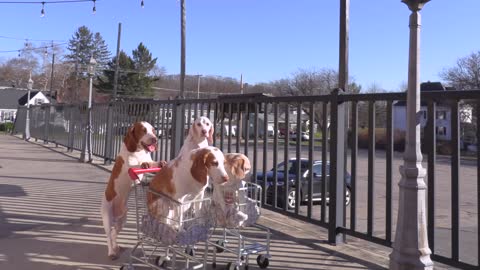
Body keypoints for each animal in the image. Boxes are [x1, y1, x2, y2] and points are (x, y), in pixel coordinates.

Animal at [100, 121, 166, 260]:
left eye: (153, 130)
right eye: (143, 130)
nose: (155, 139)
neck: (138, 152)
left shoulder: (149, 160)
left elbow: (152, 162)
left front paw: (160, 163)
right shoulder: (128, 168)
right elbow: (136, 165)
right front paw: (143, 164)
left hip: (122, 220)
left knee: (113, 233)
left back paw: (116, 247)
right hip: (107, 217)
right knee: (108, 235)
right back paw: (111, 252)